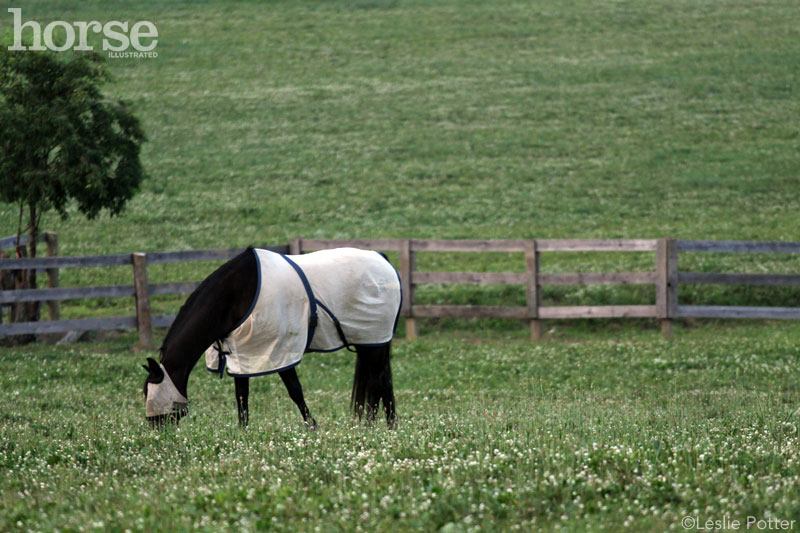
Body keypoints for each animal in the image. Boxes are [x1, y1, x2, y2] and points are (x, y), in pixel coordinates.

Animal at [141, 245, 404, 428]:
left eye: (149, 392)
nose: (157, 429)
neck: (235, 295)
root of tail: (382, 259)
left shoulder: (280, 351)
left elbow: (295, 391)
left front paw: (312, 426)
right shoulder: (241, 352)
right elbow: (241, 395)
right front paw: (243, 431)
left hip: (374, 342)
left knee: (378, 383)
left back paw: (376, 427)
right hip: (369, 342)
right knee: (381, 382)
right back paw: (383, 426)